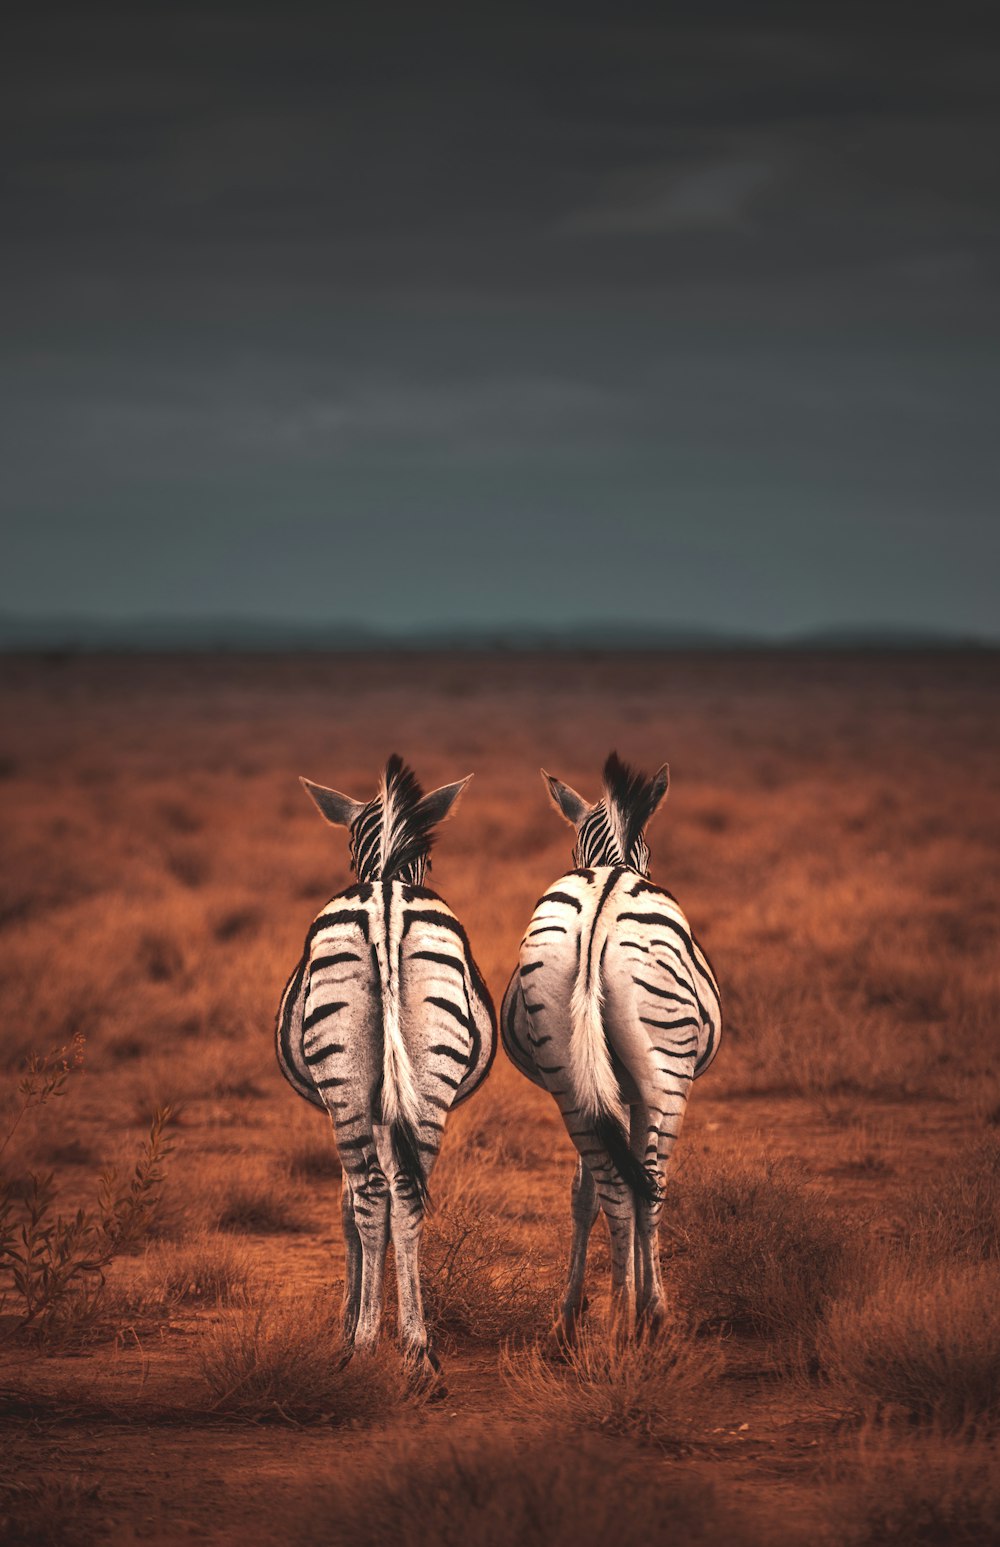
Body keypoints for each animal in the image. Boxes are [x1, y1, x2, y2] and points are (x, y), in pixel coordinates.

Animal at [273, 751, 498, 1379]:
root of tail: (386, 905)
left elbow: (347, 1207)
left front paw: (349, 1321)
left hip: (346, 1087)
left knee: (373, 1194)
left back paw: (368, 1344)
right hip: (427, 1079)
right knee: (408, 1194)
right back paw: (418, 1347)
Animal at [504, 754, 724, 1336]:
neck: (615, 862)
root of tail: (600, 915)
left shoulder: (607, 1090)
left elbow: (584, 1196)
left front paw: (571, 1308)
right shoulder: (637, 1091)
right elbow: (643, 1187)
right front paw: (644, 1300)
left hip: (569, 1074)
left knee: (610, 1189)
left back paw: (606, 1316)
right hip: (667, 1074)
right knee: (648, 1187)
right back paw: (640, 1313)